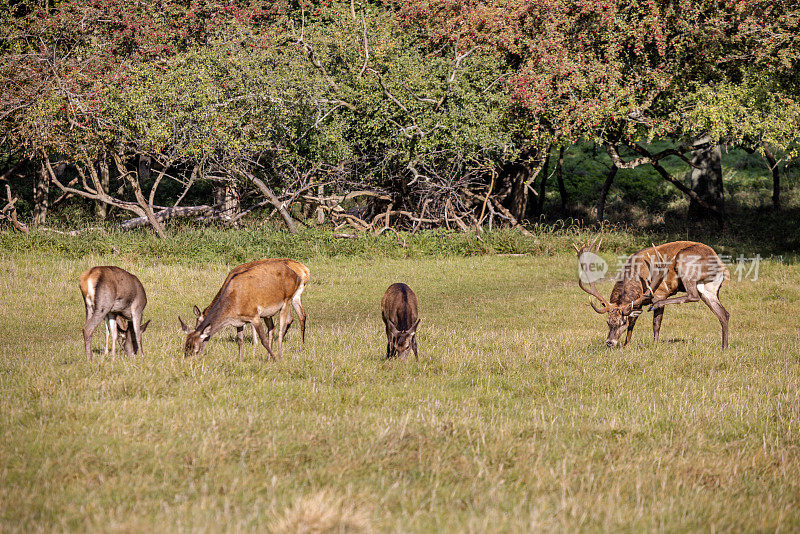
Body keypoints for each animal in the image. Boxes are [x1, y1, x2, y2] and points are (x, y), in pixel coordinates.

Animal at [576, 240, 732, 350]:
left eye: (622, 322)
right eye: (608, 322)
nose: (609, 343)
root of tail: (720, 264)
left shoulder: (659, 292)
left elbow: (656, 324)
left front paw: (655, 345)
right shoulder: (636, 304)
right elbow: (634, 322)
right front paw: (626, 345)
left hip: (685, 262)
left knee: (693, 295)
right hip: (709, 287)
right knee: (723, 313)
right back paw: (724, 347)